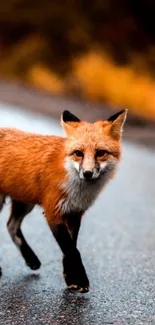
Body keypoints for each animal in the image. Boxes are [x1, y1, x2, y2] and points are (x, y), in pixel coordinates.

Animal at [0, 108, 126, 292]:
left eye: (100, 153)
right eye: (78, 153)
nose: (87, 173)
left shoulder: (75, 212)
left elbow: (71, 247)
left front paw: (71, 278)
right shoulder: (53, 212)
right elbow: (72, 249)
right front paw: (80, 279)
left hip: (25, 203)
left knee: (11, 226)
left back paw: (31, 258)